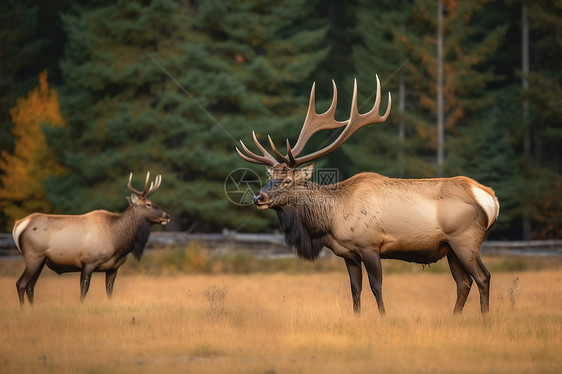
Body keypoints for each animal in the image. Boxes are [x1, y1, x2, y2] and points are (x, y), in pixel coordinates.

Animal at [10, 172, 168, 304]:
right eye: (148, 204)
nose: (166, 216)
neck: (117, 242)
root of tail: (19, 224)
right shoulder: (88, 261)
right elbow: (84, 290)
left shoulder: (113, 268)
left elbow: (109, 292)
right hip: (33, 256)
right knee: (21, 283)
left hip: (41, 260)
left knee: (30, 286)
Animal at [234, 76, 496, 316]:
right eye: (269, 177)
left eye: (287, 180)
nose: (258, 198)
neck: (330, 222)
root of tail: (489, 197)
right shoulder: (349, 254)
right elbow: (355, 290)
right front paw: (357, 317)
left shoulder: (370, 244)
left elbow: (376, 286)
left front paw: (383, 317)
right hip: (450, 247)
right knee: (464, 282)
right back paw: (455, 317)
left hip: (465, 239)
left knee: (483, 277)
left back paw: (484, 318)